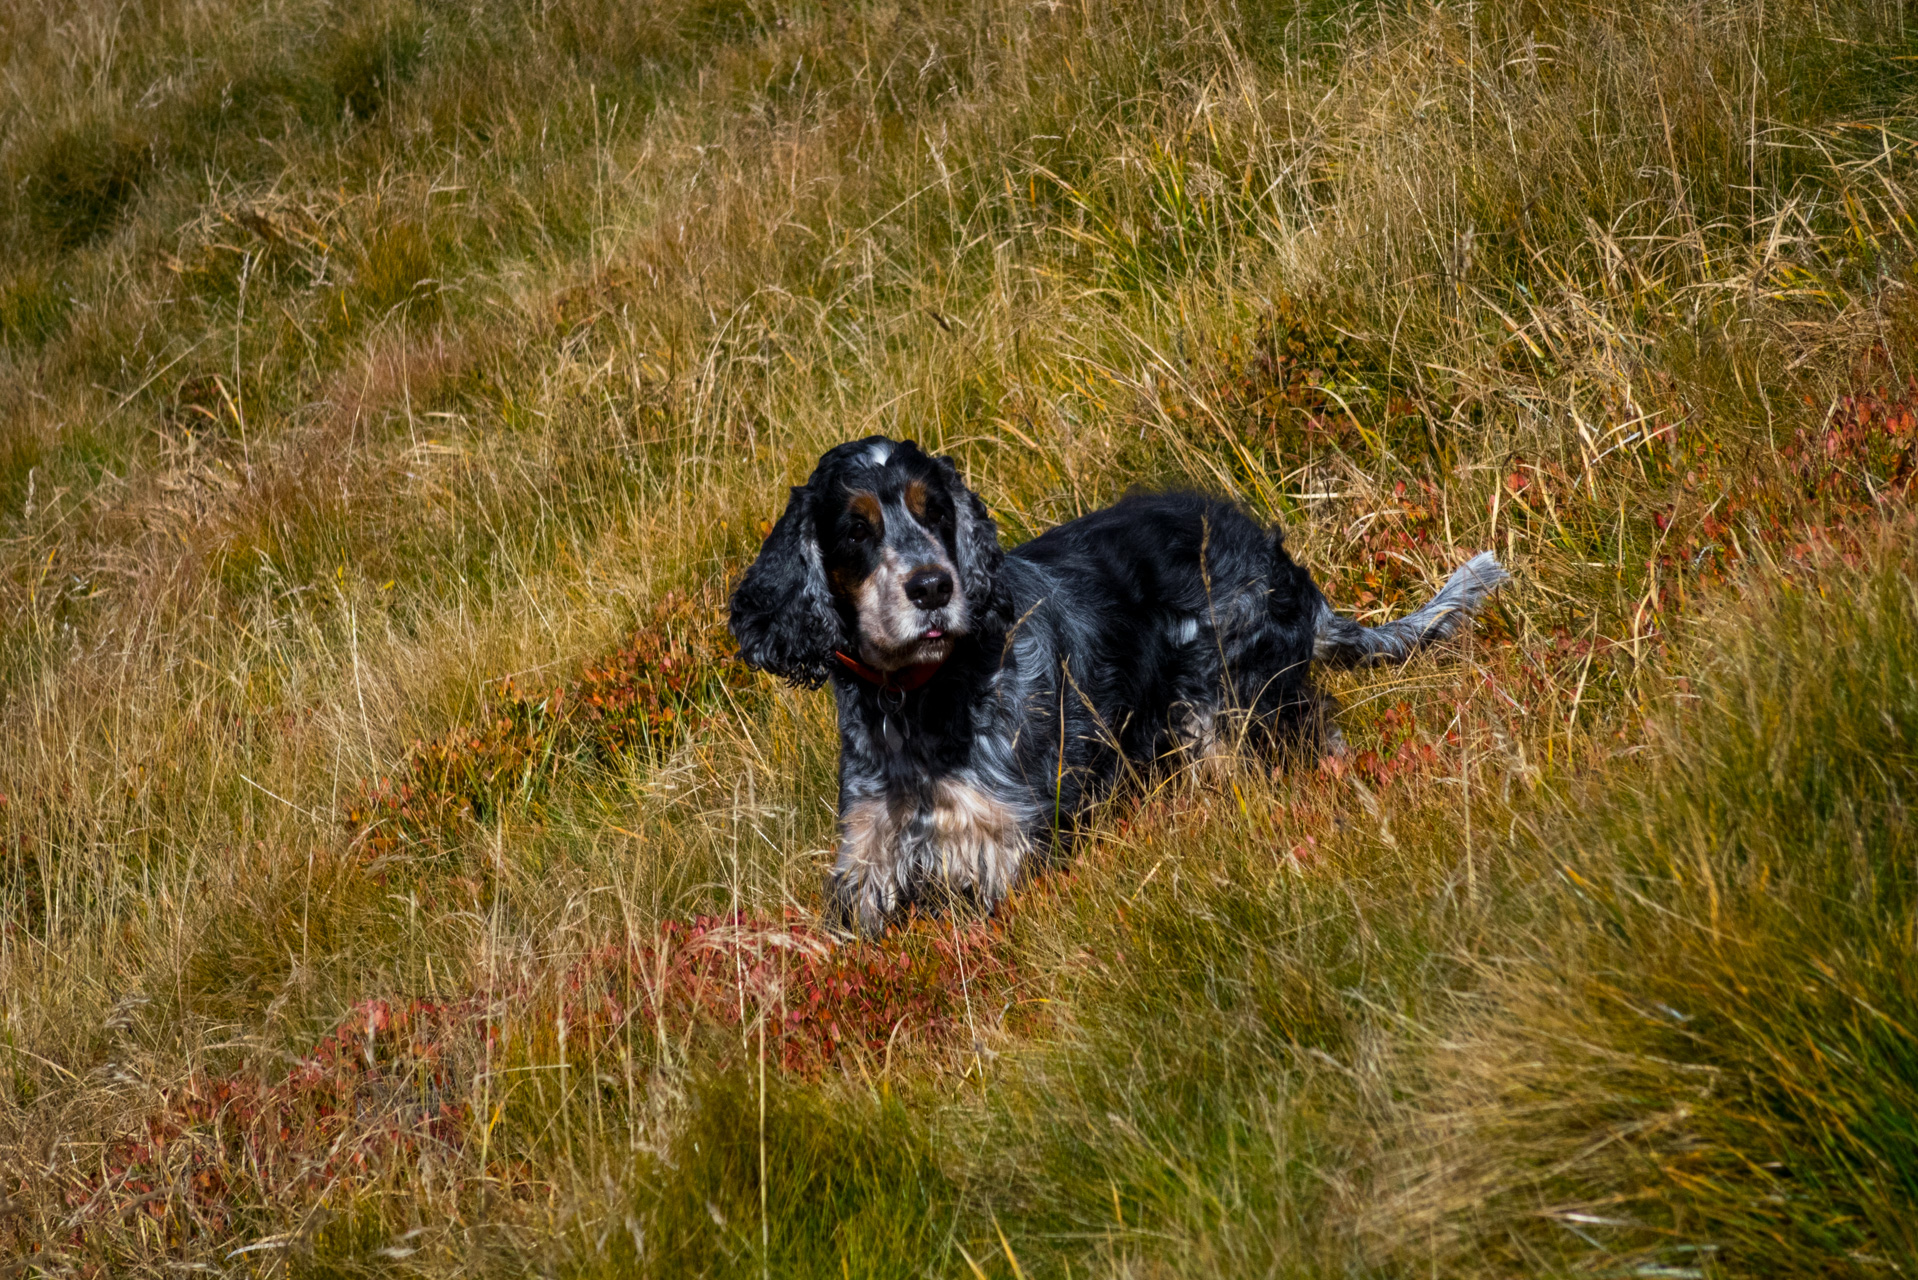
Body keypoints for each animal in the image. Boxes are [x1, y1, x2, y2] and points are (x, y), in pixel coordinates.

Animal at [725, 441, 1503, 940]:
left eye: (934, 511)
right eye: (856, 529)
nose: (932, 586)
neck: (919, 704)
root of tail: (1276, 555)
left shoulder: (1002, 847)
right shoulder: (868, 862)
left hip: (1231, 712)